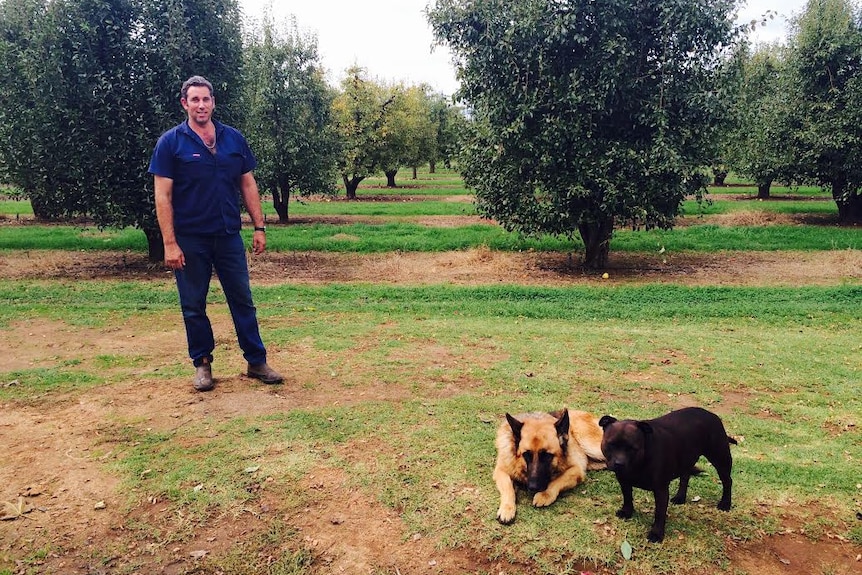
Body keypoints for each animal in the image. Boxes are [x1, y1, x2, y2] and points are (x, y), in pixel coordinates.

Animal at [600, 408, 736, 544]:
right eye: (611, 444)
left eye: (632, 448)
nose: (619, 463)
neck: (640, 461)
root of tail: (711, 414)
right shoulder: (624, 481)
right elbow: (627, 497)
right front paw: (627, 512)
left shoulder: (661, 490)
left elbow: (659, 513)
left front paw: (656, 534)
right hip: (686, 458)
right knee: (685, 477)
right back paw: (680, 497)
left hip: (720, 458)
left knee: (727, 481)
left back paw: (725, 504)